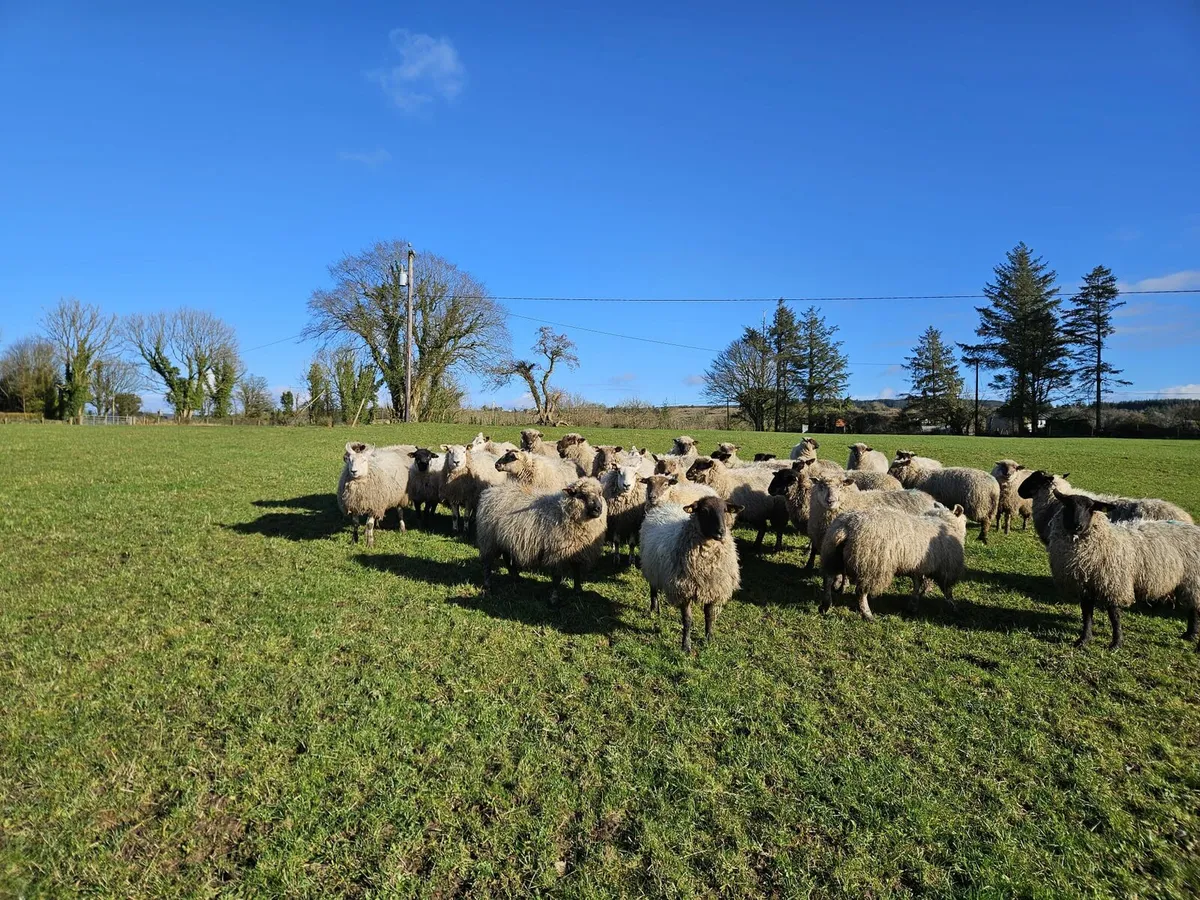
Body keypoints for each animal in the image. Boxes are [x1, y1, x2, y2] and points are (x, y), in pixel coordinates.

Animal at [475, 478, 608, 604]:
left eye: (600, 493)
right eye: (582, 495)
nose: (598, 509)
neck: (563, 512)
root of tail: (490, 491)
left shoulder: (576, 551)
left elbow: (577, 572)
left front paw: (578, 590)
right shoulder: (556, 553)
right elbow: (557, 577)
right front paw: (554, 599)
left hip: (505, 539)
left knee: (507, 558)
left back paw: (516, 577)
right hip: (489, 539)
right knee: (487, 563)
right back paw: (488, 586)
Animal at [639, 496, 743, 652]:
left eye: (725, 510)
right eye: (704, 511)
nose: (721, 532)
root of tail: (664, 506)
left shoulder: (712, 589)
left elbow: (709, 616)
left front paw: (709, 639)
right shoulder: (684, 590)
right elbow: (687, 620)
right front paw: (686, 646)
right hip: (651, 567)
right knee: (653, 590)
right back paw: (654, 609)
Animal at [805, 475, 939, 572]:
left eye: (841, 486)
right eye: (821, 486)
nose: (830, 501)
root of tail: (929, 498)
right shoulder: (818, 534)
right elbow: (813, 550)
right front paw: (808, 565)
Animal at [820, 503, 968, 620]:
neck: (943, 522)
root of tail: (847, 526)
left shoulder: (917, 566)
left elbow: (917, 584)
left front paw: (913, 605)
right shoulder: (946, 569)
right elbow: (947, 591)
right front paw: (955, 608)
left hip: (832, 555)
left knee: (828, 579)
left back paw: (825, 605)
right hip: (872, 565)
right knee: (860, 592)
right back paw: (867, 614)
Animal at [1051, 491, 1200, 651]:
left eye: (1091, 508)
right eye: (1068, 505)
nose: (1077, 526)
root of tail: (1193, 528)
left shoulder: (1114, 583)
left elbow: (1114, 615)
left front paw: (1116, 643)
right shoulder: (1085, 586)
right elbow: (1087, 613)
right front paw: (1084, 639)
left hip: (1193, 579)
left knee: (1194, 608)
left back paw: (1192, 636)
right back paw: (1189, 634)